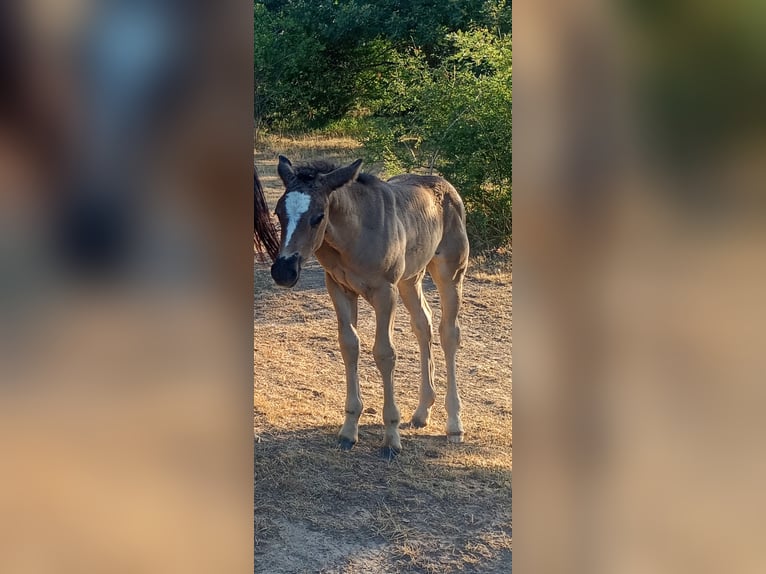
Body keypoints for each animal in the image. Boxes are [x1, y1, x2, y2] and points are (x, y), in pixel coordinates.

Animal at [270, 155, 469, 457]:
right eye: (278, 213)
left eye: (318, 217)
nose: (283, 271)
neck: (354, 234)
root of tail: (445, 185)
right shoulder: (338, 288)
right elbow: (349, 346)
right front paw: (349, 430)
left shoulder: (385, 292)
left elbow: (384, 353)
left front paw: (391, 438)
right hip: (410, 279)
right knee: (423, 324)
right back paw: (422, 411)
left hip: (450, 272)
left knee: (449, 333)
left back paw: (454, 424)